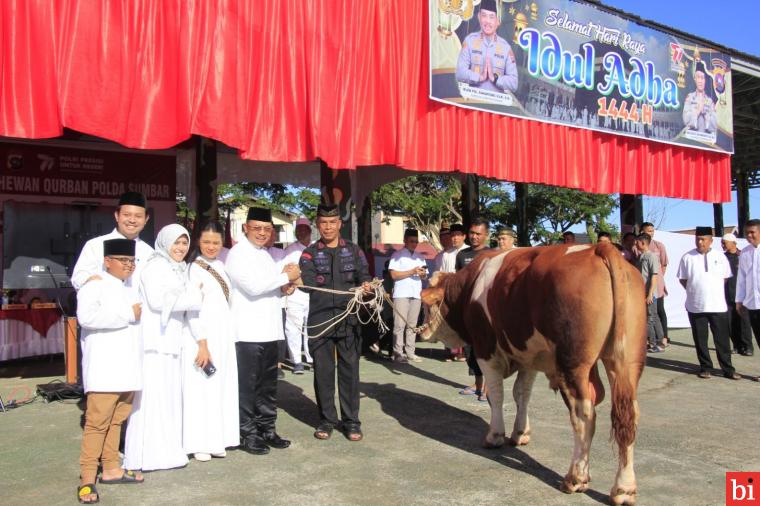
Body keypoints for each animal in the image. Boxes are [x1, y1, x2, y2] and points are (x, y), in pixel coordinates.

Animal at [422, 243, 648, 504]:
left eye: (427, 305)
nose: (421, 330)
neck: (471, 285)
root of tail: (599, 248)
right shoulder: (529, 357)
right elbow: (522, 393)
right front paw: (520, 432)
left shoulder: (485, 350)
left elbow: (496, 396)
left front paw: (495, 435)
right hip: (626, 362)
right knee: (628, 418)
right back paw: (623, 489)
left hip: (573, 365)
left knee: (584, 416)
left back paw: (575, 478)